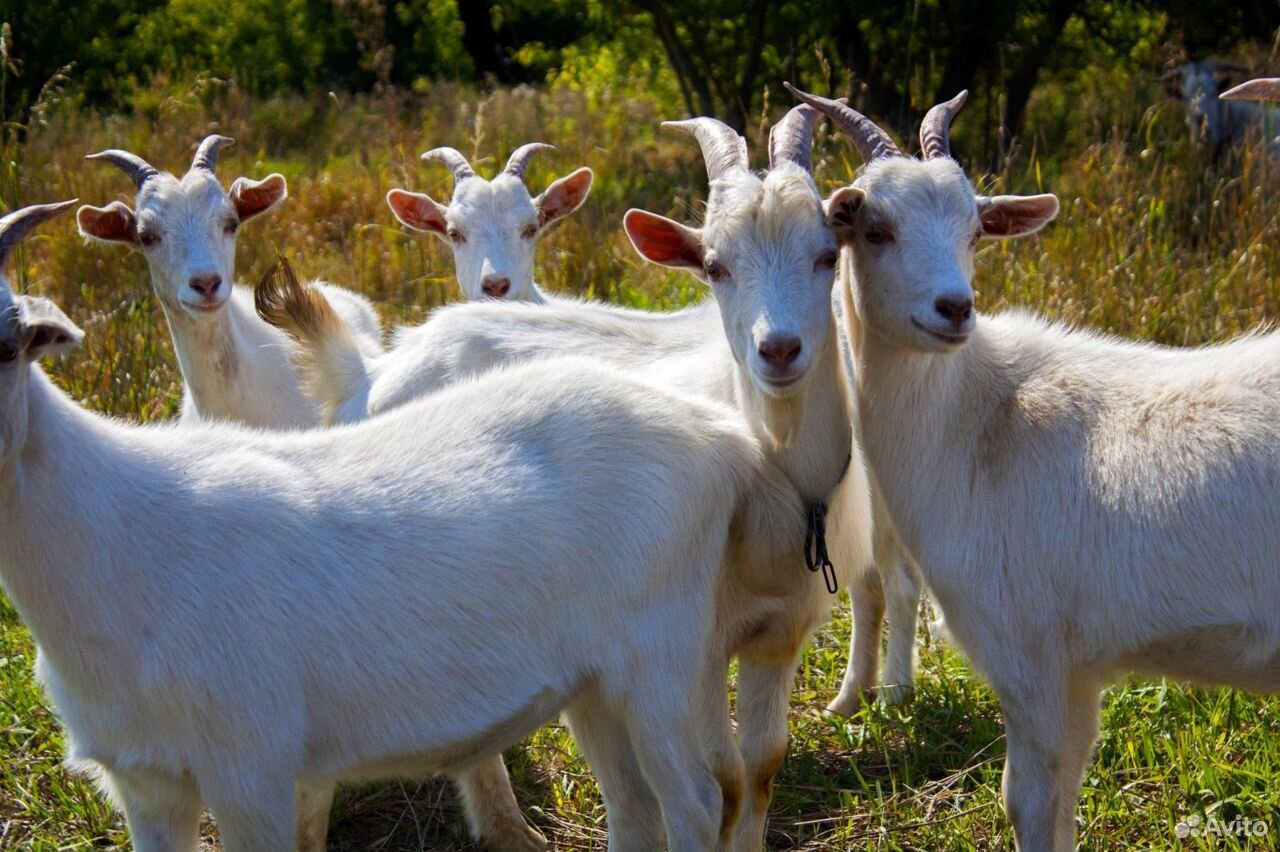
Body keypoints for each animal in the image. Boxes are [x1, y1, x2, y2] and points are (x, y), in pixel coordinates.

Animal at [0, 197, 803, 849]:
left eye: (11, 346)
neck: (122, 531)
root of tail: (720, 434)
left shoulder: (251, 767)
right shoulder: (145, 785)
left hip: (661, 656)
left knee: (698, 800)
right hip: (596, 680)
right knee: (634, 805)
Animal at [793, 81, 1280, 849]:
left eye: (973, 230)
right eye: (874, 229)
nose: (954, 308)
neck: (975, 421)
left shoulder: (1025, 651)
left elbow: (1028, 799)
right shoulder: (1076, 669)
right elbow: (1066, 791)